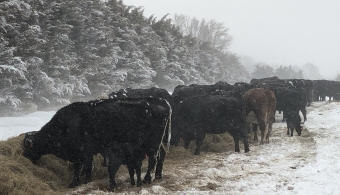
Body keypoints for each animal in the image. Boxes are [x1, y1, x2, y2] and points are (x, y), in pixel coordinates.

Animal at [23, 97, 173, 190]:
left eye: (28, 148)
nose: (24, 158)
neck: (66, 125)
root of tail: (162, 101)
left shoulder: (84, 152)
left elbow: (84, 167)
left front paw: (79, 182)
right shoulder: (84, 154)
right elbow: (83, 167)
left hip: (153, 144)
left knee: (154, 158)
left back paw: (148, 179)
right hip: (161, 142)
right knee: (162, 155)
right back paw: (158, 176)